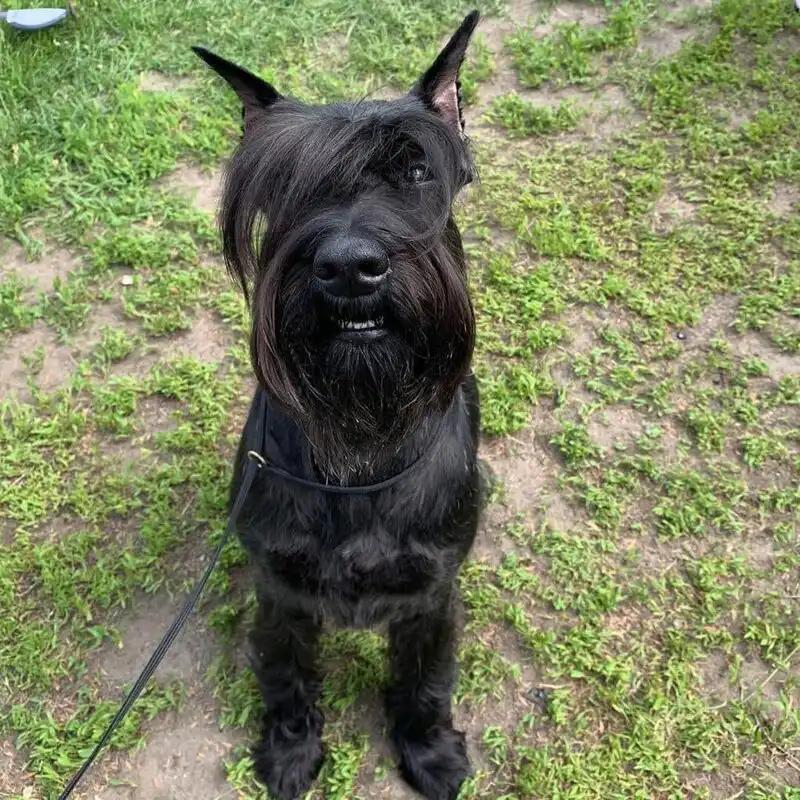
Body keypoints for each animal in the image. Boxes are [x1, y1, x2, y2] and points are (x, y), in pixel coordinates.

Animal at [194, 11, 482, 799]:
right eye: (284, 179)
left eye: (416, 169)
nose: (349, 266)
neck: (361, 443)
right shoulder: (281, 592)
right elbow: (288, 675)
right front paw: (291, 751)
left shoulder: (432, 594)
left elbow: (425, 681)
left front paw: (429, 751)